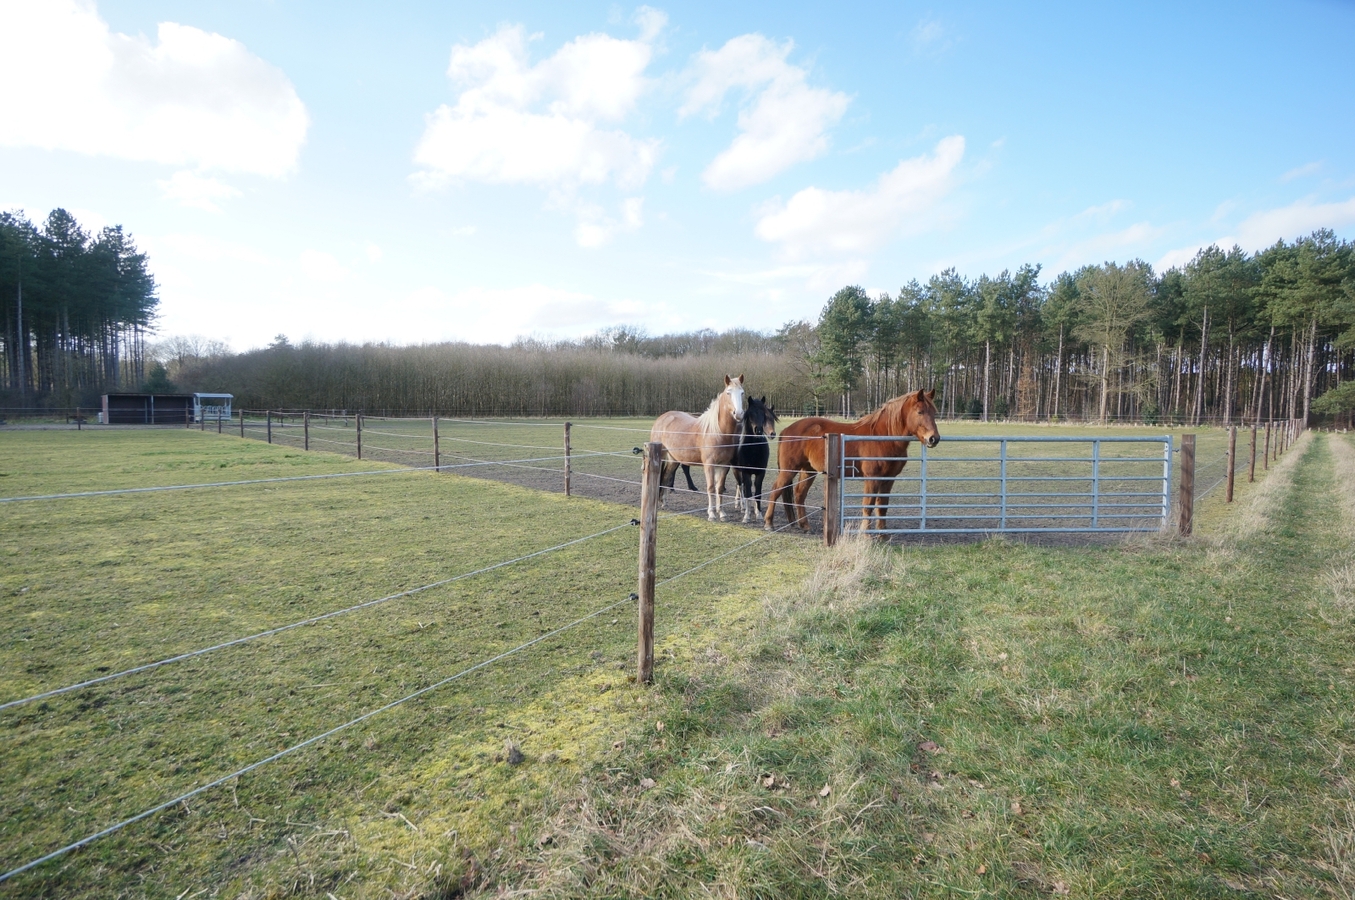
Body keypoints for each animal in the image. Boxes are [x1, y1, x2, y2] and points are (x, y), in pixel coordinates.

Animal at [647, 374, 747, 520]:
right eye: (728, 392)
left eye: (742, 393)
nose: (738, 414)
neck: (718, 432)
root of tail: (662, 418)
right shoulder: (709, 465)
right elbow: (711, 487)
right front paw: (711, 514)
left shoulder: (724, 465)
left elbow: (719, 488)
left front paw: (722, 513)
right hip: (663, 457)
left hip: (673, 460)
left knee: (666, 477)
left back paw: (664, 503)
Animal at [764, 387, 943, 534]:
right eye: (920, 412)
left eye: (934, 412)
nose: (934, 438)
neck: (883, 438)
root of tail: (786, 430)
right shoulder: (872, 478)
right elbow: (868, 505)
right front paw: (866, 535)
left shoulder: (888, 479)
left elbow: (882, 506)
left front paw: (882, 535)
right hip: (789, 470)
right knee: (776, 489)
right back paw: (769, 523)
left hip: (808, 470)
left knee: (799, 494)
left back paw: (805, 526)